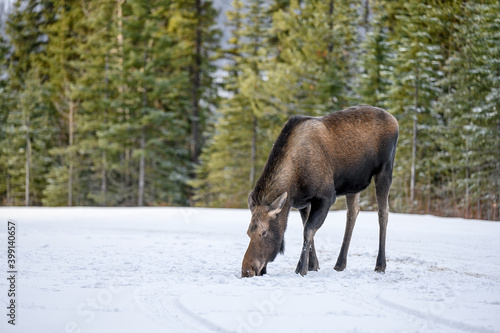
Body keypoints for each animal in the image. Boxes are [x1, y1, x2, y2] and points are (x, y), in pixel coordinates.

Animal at [241, 105, 398, 276]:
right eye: (248, 232)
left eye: (264, 232)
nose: (247, 270)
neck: (294, 181)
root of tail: (394, 120)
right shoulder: (303, 202)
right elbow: (307, 227)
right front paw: (313, 265)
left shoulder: (326, 197)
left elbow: (309, 230)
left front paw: (301, 268)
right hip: (354, 183)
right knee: (353, 212)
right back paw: (340, 264)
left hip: (384, 171)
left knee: (383, 212)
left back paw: (380, 265)